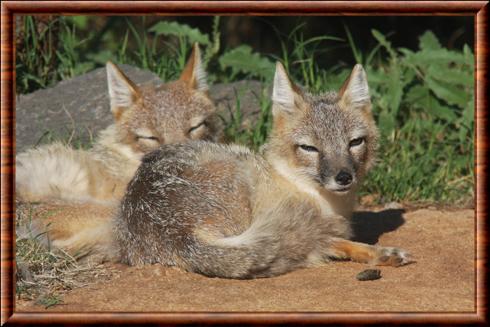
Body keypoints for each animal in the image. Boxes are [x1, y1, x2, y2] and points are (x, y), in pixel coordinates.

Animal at [113, 62, 412, 278]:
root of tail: (177, 234)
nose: (343, 177)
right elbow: (329, 241)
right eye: (309, 148)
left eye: (354, 142)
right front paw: (378, 251)